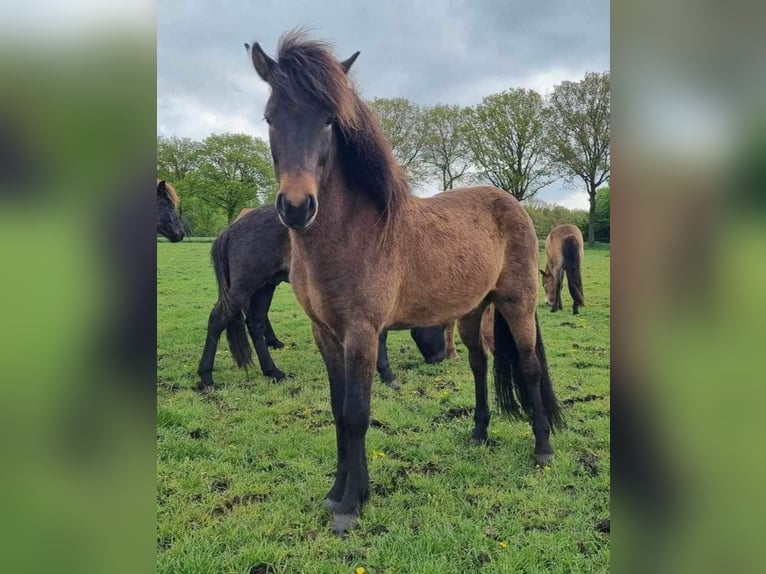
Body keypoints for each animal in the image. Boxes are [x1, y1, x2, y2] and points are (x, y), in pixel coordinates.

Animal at [196, 206, 450, 392]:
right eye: (441, 325)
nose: (439, 358)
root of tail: (232, 229)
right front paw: (387, 376)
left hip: (264, 286)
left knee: (256, 324)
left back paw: (274, 372)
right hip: (244, 287)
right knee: (217, 320)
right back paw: (206, 377)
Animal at [249, 30, 568, 536]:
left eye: (329, 120)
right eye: (270, 116)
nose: (297, 207)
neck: (352, 234)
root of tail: (513, 204)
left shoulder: (362, 332)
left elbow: (357, 414)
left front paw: (351, 505)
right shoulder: (325, 334)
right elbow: (337, 410)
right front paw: (335, 492)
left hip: (517, 304)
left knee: (530, 366)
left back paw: (542, 450)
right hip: (473, 311)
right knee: (478, 365)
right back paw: (479, 434)